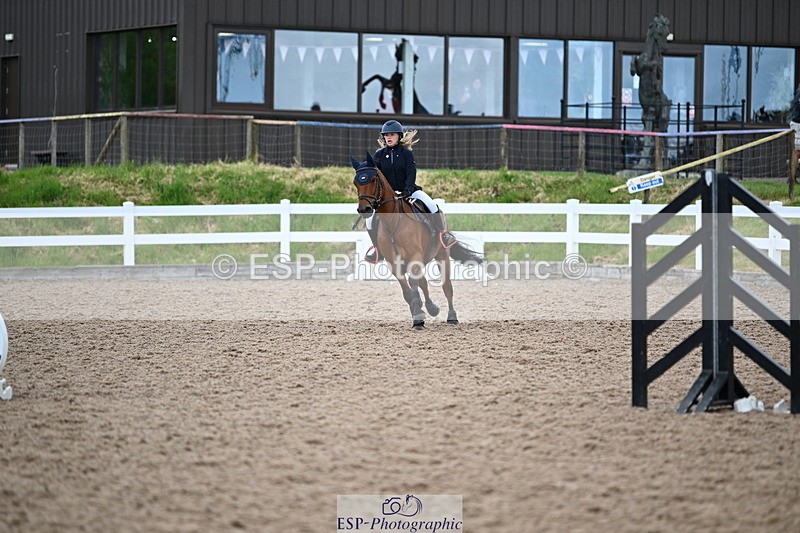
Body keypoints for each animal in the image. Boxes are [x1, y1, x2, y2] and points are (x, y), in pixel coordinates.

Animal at [351, 153, 482, 329]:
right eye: (356, 182)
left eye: (372, 179)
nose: (364, 209)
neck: (393, 224)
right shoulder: (395, 264)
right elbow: (407, 290)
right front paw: (418, 313)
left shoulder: (415, 257)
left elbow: (414, 285)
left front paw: (419, 317)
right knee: (423, 283)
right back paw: (431, 308)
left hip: (441, 255)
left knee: (446, 286)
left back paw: (452, 317)